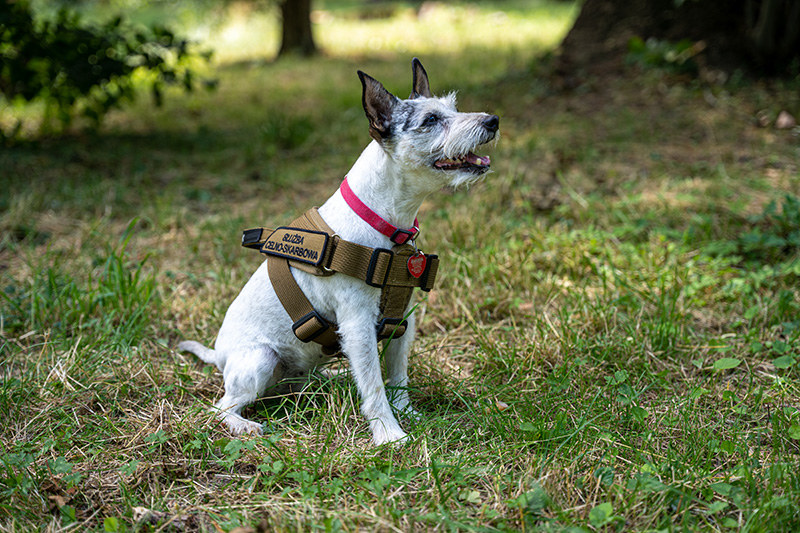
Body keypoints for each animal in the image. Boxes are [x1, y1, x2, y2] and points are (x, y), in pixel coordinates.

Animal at [180, 57, 500, 444]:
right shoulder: (358, 323)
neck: (384, 224)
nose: (492, 120)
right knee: (221, 406)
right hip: (259, 360)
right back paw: (246, 425)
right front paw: (390, 435)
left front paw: (408, 414)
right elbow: (375, 387)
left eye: (452, 107)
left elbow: (397, 377)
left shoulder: (402, 322)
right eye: (431, 120)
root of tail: (220, 356)